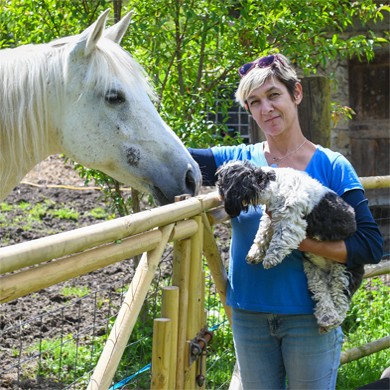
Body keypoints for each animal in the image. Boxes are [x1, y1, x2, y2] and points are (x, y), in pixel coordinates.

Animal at [215, 160, 362, 334]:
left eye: (223, 183)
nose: (217, 189)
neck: (272, 183)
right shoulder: (270, 218)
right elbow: (262, 235)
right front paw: (255, 254)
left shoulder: (290, 220)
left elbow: (280, 239)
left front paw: (270, 259)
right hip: (314, 273)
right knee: (323, 295)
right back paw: (326, 319)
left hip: (343, 273)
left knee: (340, 300)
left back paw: (332, 321)